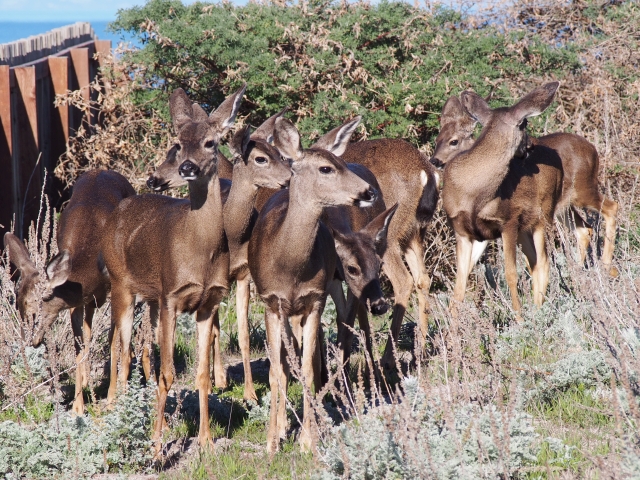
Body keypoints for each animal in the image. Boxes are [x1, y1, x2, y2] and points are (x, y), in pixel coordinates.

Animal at [3, 171, 135, 414]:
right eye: (19, 309)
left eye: (37, 309)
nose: (30, 342)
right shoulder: (77, 301)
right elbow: (78, 345)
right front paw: (77, 406)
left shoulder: (115, 287)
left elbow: (112, 341)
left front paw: (112, 399)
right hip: (89, 302)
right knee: (88, 332)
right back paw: (86, 380)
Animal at [101, 84, 246, 448]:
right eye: (178, 144)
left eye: (210, 142)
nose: (188, 167)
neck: (200, 252)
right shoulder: (171, 297)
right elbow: (169, 373)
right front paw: (155, 448)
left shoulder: (209, 301)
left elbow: (202, 374)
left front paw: (205, 441)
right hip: (121, 286)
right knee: (122, 351)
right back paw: (119, 413)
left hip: (149, 299)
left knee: (143, 354)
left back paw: (160, 421)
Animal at [249, 116, 380, 454]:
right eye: (326, 168)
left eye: (340, 162)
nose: (369, 191)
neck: (290, 265)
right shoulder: (270, 301)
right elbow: (276, 371)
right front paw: (273, 441)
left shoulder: (315, 299)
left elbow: (308, 368)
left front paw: (308, 440)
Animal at [432, 94, 616, 278]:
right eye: (437, 139)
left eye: (454, 141)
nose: (434, 160)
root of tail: (593, 150)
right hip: (562, 207)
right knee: (584, 229)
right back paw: (577, 271)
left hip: (583, 189)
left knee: (611, 207)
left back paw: (605, 265)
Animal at [442, 82, 564, 318]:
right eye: (524, 123)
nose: (530, 146)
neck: (471, 193)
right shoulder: (462, 231)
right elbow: (459, 287)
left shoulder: (508, 221)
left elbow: (511, 274)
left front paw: (520, 320)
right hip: (525, 228)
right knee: (535, 263)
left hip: (543, 215)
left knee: (544, 263)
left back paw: (538, 312)